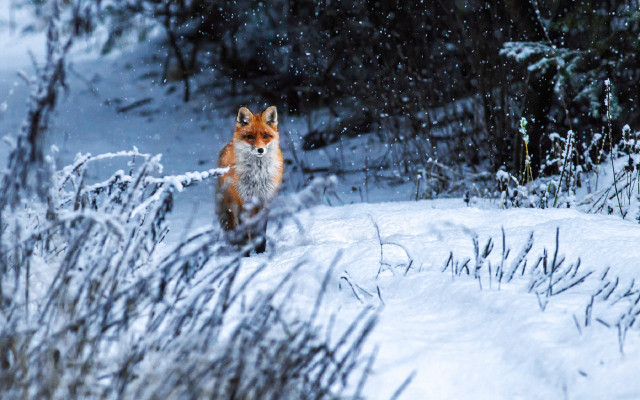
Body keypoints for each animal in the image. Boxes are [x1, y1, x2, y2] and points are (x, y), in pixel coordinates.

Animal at [216, 105, 283, 254]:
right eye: (250, 136)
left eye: (265, 136)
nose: (260, 150)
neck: (257, 175)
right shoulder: (242, 202)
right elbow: (243, 234)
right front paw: (245, 255)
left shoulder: (264, 200)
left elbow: (261, 231)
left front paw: (260, 252)